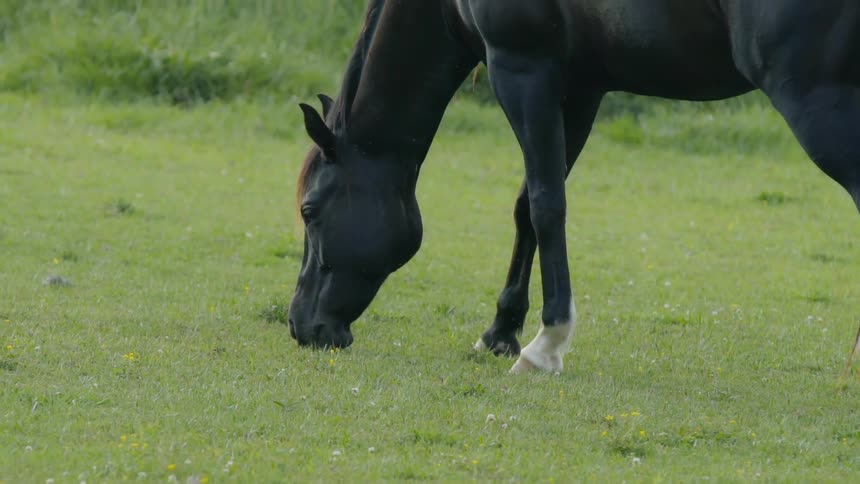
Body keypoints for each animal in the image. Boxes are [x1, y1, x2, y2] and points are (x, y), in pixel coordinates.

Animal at [288, 0, 860, 373]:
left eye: (310, 211)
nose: (299, 325)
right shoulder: (581, 85)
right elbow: (527, 206)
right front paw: (501, 330)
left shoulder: (521, 69)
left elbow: (547, 204)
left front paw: (547, 343)